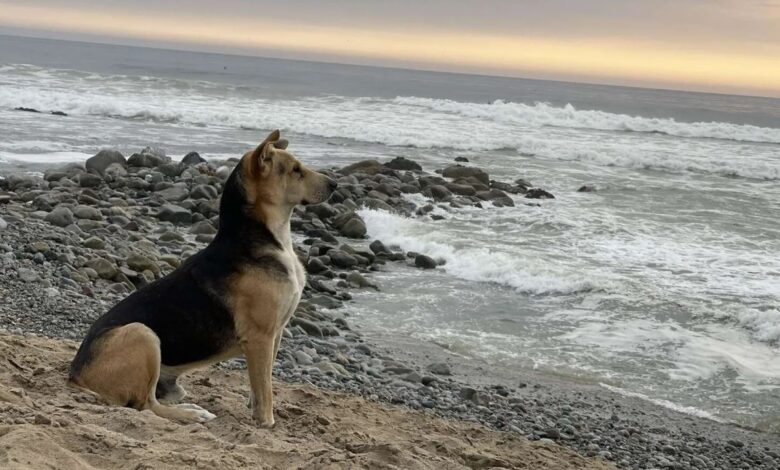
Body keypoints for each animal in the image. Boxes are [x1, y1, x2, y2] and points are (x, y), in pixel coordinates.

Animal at [68, 130, 336, 428]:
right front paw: (266, 421)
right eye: (295, 170)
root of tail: (76, 374)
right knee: (146, 405)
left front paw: (255, 409)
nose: (335, 184)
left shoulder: (274, 334)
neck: (264, 237)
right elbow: (265, 387)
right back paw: (192, 414)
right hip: (143, 333)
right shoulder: (261, 337)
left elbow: (260, 383)